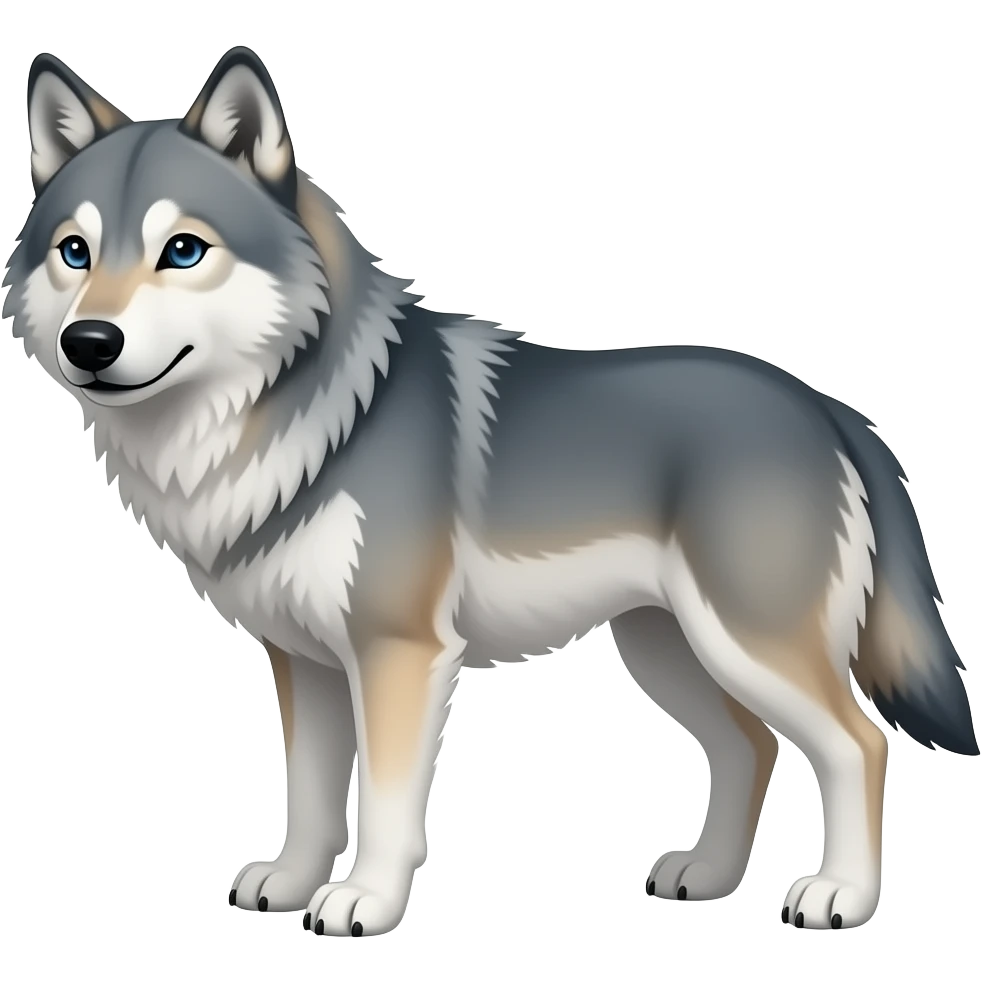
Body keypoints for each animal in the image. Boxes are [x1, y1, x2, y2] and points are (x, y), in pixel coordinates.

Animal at [3, 45, 978, 938]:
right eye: (74, 252)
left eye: (182, 251)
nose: (90, 342)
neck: (306, 419)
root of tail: (827, 407)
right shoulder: (305, 662)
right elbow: (310, 795)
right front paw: (289, 884)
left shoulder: (399, 653)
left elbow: (383, 802)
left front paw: (363, 902)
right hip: (668, 650)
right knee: (754, 745)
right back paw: (706, 875)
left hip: (746, 643)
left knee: (857, 743)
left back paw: (840, 897)